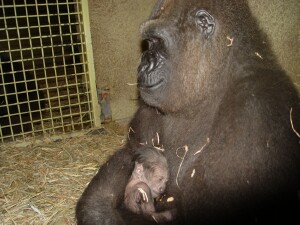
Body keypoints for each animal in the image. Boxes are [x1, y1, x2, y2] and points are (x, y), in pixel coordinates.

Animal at [75, 0, 300, 224]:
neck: (216, 79)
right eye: (149, 42)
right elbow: (131, 152)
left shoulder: (255, 109)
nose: (143, 63)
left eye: (157, 41)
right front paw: (98, 209)